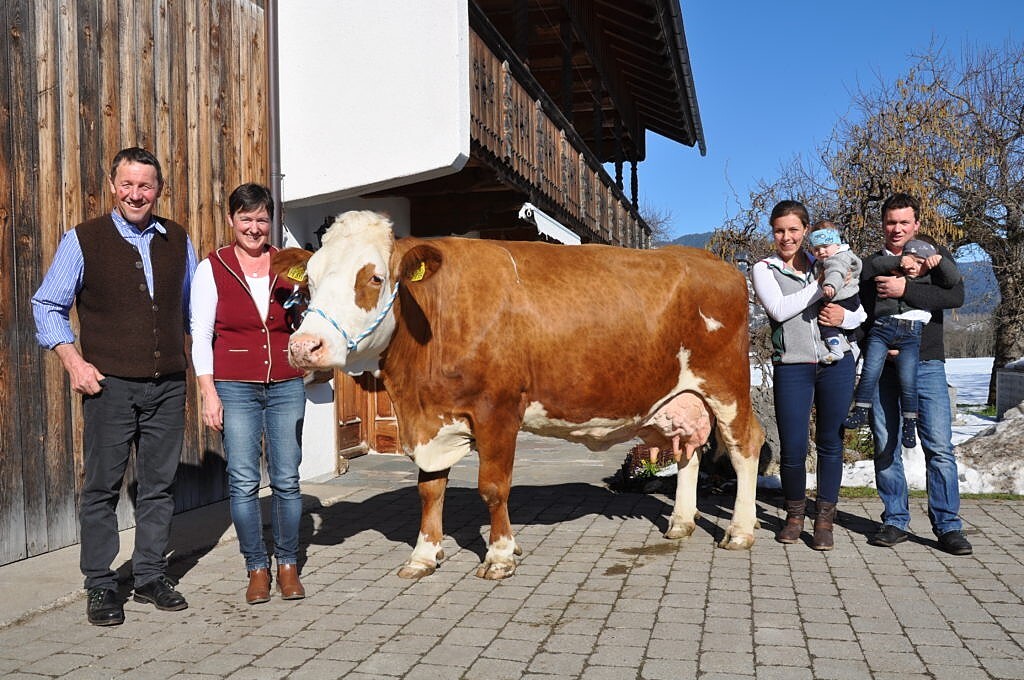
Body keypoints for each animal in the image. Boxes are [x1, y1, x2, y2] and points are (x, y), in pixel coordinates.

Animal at [276, 208, 765, 577]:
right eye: (309, 279)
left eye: (374, 278)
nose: (304, 346)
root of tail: (715, 262)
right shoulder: (430, 419)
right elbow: (429, 489)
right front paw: (424, 555)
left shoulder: (498, 410)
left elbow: (493, 488)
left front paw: (499, 555)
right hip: (680, 397)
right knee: (690, 451)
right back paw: (681, 521)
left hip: (727, 385)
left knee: (744, 444)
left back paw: (740, 531)